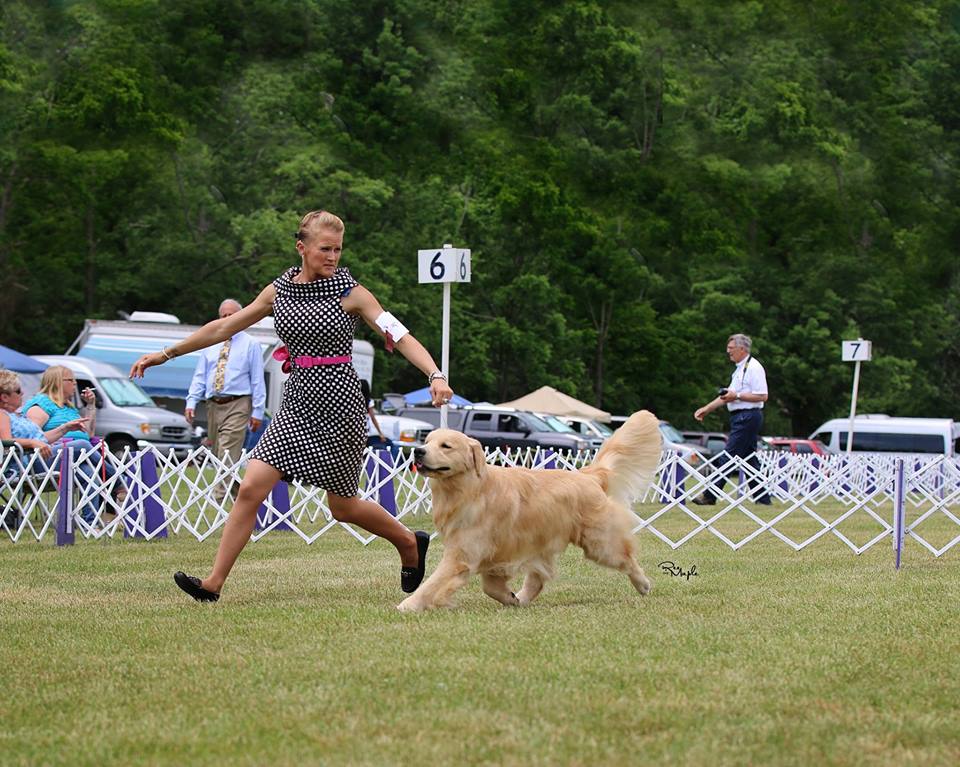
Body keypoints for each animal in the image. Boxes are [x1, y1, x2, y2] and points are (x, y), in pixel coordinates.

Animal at [396, 408, 660, 612]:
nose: (418, 451)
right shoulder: (496, 553)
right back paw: (522, 598)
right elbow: (490, 587)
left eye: (446, 446)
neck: (470, 489)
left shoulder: (462, 553)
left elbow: (433, 582)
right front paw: (510, 598)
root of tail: (588, 476)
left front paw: (408, 605)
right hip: (541, 542)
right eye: (427, 441)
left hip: (599, 543)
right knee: (538, 578)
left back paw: (644, 584)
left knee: (627, 559)